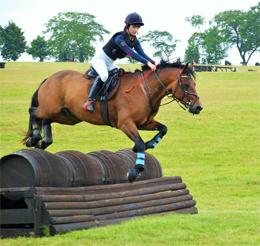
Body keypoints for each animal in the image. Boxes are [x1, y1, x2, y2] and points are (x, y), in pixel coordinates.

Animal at [21, 59, 203, 183]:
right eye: (187, 84)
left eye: (194, 83)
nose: (198, 107)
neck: (145, 90)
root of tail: (49, 78)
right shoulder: (125, 124)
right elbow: (140, 144)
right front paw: (135, 171)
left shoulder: (144, 123)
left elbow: (163, 129)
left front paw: (148, 145)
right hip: (51, 107)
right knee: (34, 112)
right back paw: (34, 138)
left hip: (69, 116)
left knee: (46, 120)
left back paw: (44, 141)